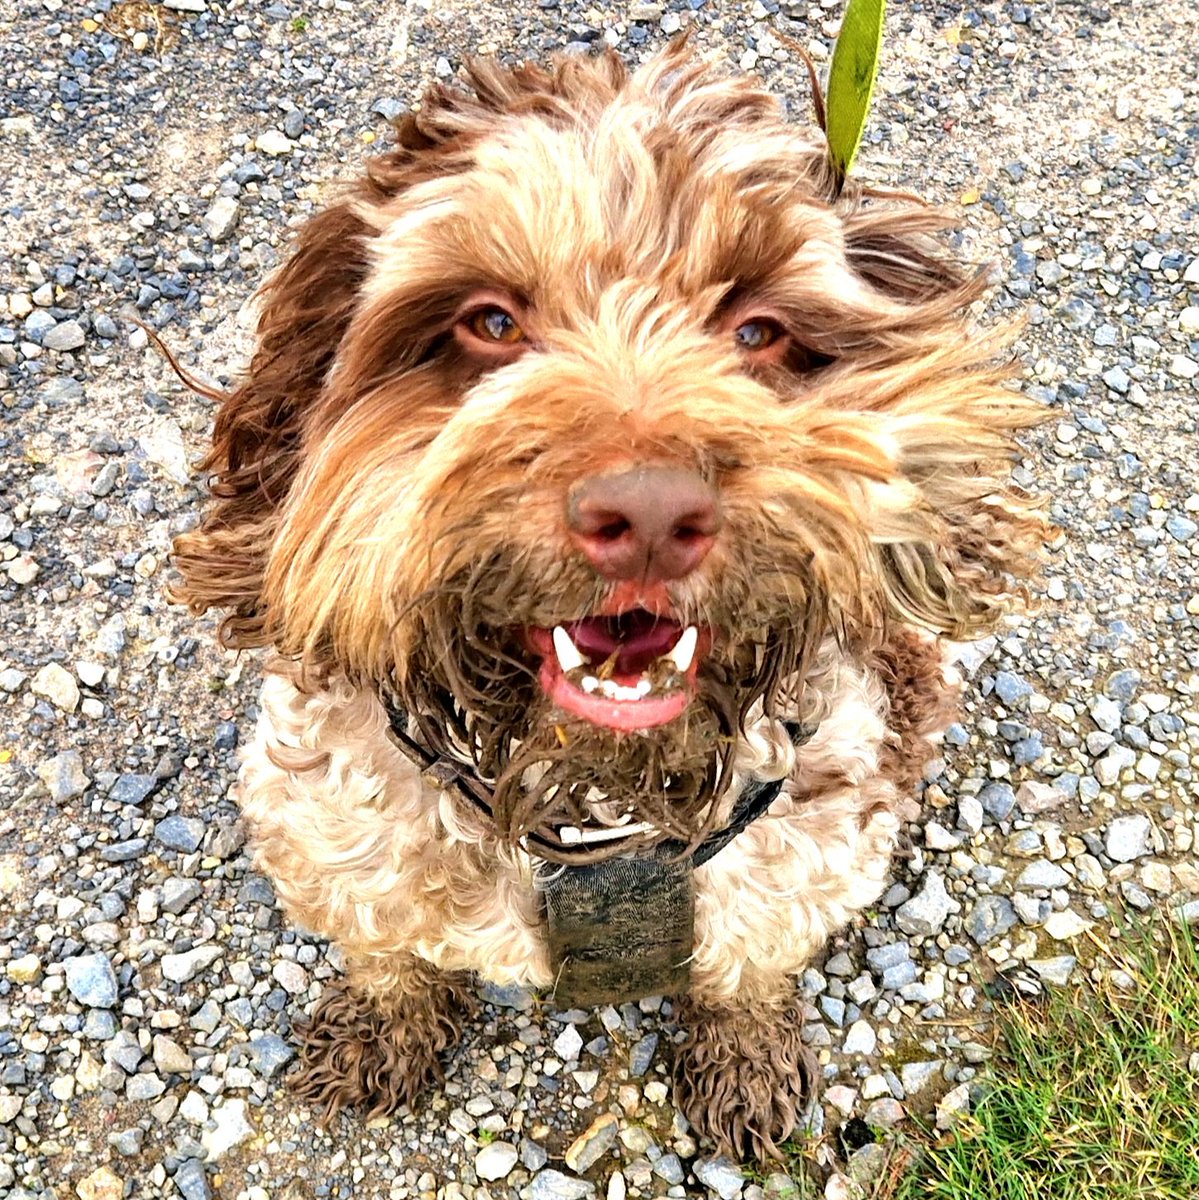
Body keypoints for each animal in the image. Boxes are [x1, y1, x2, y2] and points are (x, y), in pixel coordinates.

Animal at [166, 46, 1041, 1161]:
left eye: (758, 331)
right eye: (490, 322)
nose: (653, 513)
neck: (588, 807)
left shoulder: (810, 845)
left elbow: (747, 965)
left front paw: (745, 1058)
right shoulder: (326, 825)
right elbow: (383, 948)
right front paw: (378, 1027)